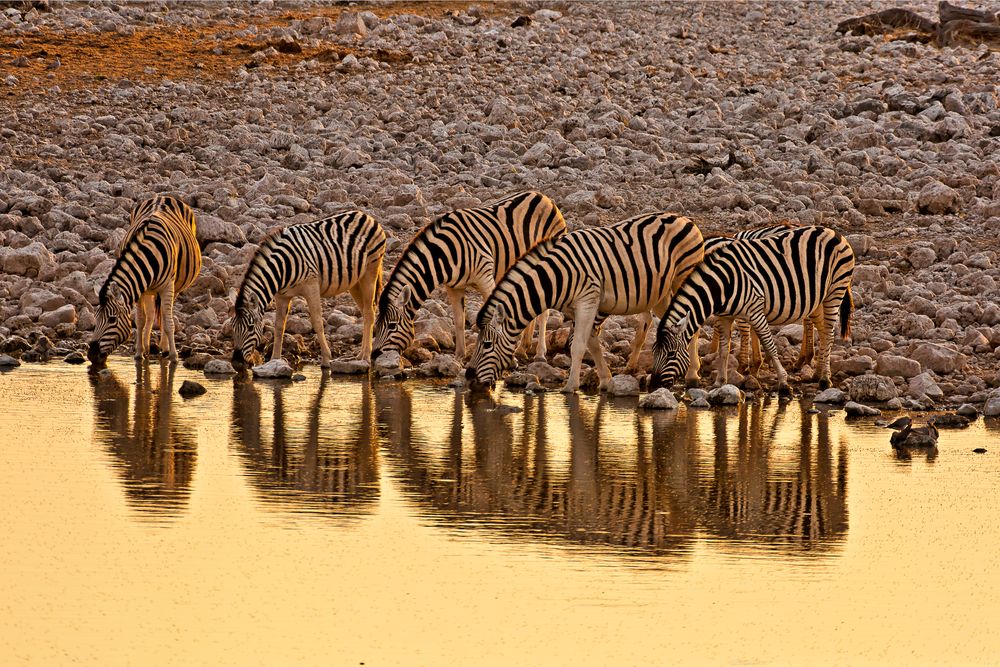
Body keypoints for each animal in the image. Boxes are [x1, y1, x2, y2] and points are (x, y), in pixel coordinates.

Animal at [87, 193, 201, 366]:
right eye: (95, 317)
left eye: (112, 320)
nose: (91, 355)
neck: (148, 254)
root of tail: (163, 196)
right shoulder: (139, 287)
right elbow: (140, 320)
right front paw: (139, 353)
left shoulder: (167, 286)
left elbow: (169, 322)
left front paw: (174, 357)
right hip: (149, 289)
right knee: (151, 315)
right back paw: (148, 347)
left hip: (174, 288)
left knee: (165, 315)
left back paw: (165, 348)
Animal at [231, 211, 386, 370]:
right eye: (232, 327)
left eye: (250, 328)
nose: (236, 362)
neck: (282, 267)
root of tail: (365, 215)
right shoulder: (281, 295)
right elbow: (279, 326)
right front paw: (275, 360)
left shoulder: (311, 286)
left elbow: (317, 323)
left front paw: (326, 359)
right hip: (355, 282)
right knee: (366, 312)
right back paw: (360, 355)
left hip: (370, 271)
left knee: (369, 313)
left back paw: (366, 356)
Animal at [372, 190, 568, 362]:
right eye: (376, 326)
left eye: (391, 326)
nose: (374, 355)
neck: (444, 254)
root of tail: (544, 197)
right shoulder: (453, 287)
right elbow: (459, 321)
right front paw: (459, 356)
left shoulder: (486, 278)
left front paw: (508, 358)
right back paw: (522, 349)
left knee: (543, 313)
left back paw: (539, 354)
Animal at [468, 213, 704, 392]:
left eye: (487, 345)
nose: (469, 377)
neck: (556, 276)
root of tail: (683, 218)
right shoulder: (576, 308)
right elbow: (592, 343)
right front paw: (606, 380)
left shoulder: (588, 300)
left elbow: (578, 346)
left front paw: (570, 387)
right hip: (660, 294)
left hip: (682, 278)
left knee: (693, 324)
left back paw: (693, 374)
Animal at [652, 226, 856, 392]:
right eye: (654, 352)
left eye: (671, 354)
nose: (652, 384)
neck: (722, 284)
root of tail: (833, 232)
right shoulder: (725, 316)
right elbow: (724, 350)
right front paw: (720, 381)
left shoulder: (755, 310)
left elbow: (769, 345)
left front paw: (783, 382)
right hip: (818, 298)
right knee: (822, 331)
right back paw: (818, 373)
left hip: (835, 290)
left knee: (828, 333)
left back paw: (825, 379)